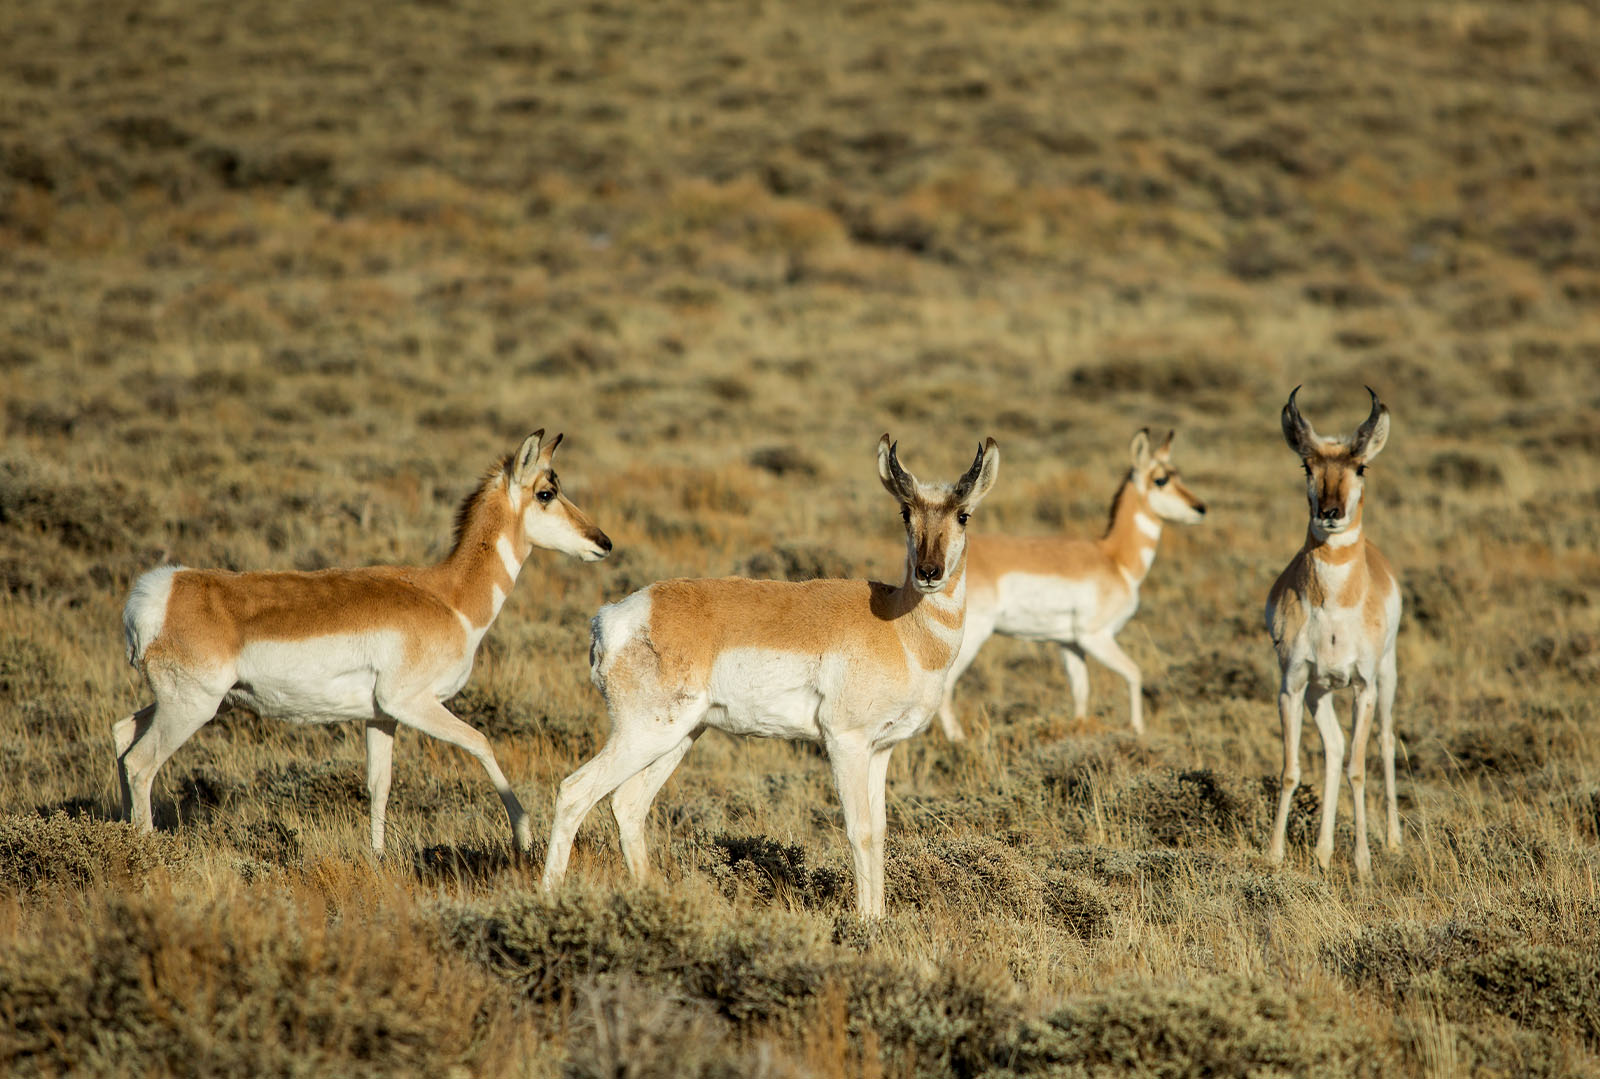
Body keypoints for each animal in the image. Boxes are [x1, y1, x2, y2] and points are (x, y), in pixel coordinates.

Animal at [114, 432, 611, 851]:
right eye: (546, 492)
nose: (603, 542)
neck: (446, 597)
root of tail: (162, 591)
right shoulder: (413, 703)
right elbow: (481, 742)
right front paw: (523, 835)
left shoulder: (381, 717)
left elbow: (379, 784)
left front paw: (377, 856)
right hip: (192, 708)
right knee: (141, 763)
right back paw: (145, 848)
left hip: (187, 704)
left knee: (122, 736)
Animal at [544, 432, 992, 909]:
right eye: (906, 512)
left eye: (963, 514)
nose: (929, 572)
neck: (897, 622)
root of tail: (612, 617)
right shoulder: (846, 743)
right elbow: (860, 831)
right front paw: (864, 920)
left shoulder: (880, 750)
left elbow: (879, 832)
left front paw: (880, 918)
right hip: (645, 735)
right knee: (575, 791)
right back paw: (549, 897)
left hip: (677, 738)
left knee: (627, 804)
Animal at [934, 429, 1203, 739]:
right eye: (1160, 479)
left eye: (1178, 474)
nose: (1201, 508)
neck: (1114, 559)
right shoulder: (1095, 637)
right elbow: (1134, 673)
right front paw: (1137, 729)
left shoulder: (1070, 644)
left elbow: (1081, 691)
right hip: (971, 639)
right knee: (945, 685)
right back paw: (958, 739)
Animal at [1267, 387, 1408, 870]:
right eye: (1307, 466)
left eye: (1360, 466)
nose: (1330, 512)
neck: (1332, 606)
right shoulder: (1292, 686)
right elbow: (1291, 770)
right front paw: (1273, 856)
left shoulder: (1363, 687)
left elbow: (1359, 770)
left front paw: (1364, 862)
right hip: (1320, 691)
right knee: (1332, 748)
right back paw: (1324, 851)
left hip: (1386, 679)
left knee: (1383, 743)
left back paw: (1393, 842)